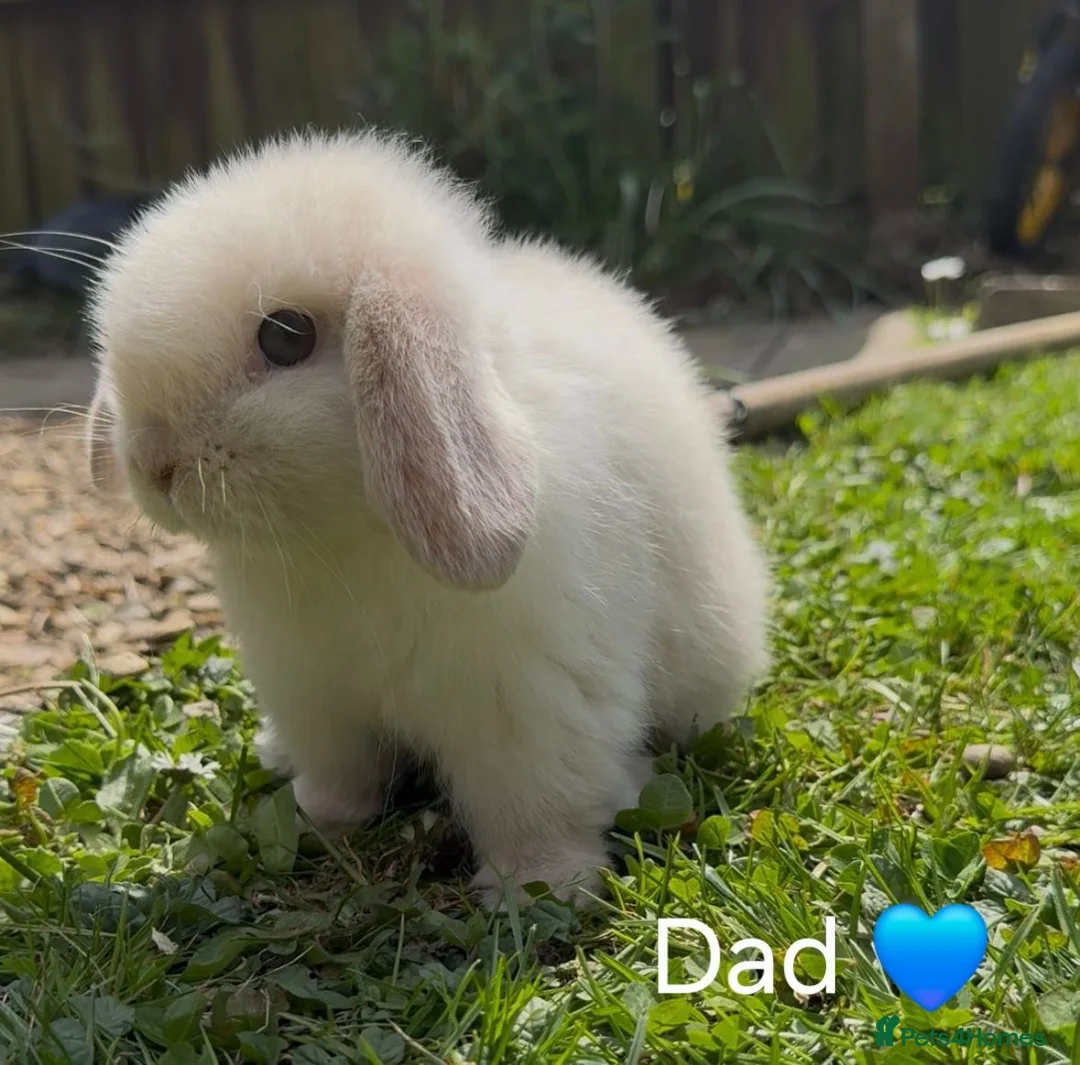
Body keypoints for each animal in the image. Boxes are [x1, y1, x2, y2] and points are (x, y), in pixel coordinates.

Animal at [84, 130, 771, 907]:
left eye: (286, 335)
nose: (152, 462)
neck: (343, 541)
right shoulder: (315, 693)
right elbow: (342, 771)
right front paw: (320, 816)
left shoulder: (529, 706)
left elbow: (538, 803)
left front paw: (537, 889)